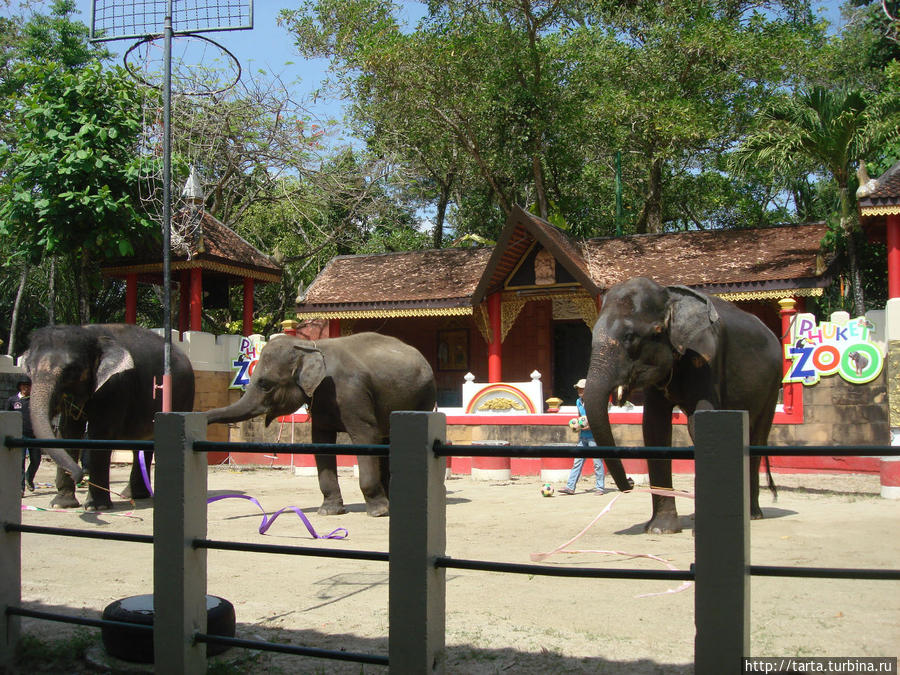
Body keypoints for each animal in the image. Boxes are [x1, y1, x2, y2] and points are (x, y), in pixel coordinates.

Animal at [23, 324, 195, 510]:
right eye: (29, 369)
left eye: (72, 370)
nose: (79, 476)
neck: (89, 333)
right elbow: (68, 433)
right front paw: (61, 505)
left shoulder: (115, 386)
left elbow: (100, 435)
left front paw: (96, 507)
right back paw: (133, 495)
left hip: (184, 396)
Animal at [208, 332, 440, 516]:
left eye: (265, 385)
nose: (205, 417)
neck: (309, 346)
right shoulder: (320, 400)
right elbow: (320, 442)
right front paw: (329, 511)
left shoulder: (352, 392)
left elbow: (366, 436)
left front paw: (379, 512)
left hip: (425, 396)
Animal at [584, 278, 780, 536]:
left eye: (630, 337)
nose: (630, 483)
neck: (671, 297)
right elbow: (654, 429)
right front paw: (660, 529)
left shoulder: (705, 358)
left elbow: (701, 424)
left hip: (773, 384)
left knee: (757, 436)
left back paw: (753, 515)